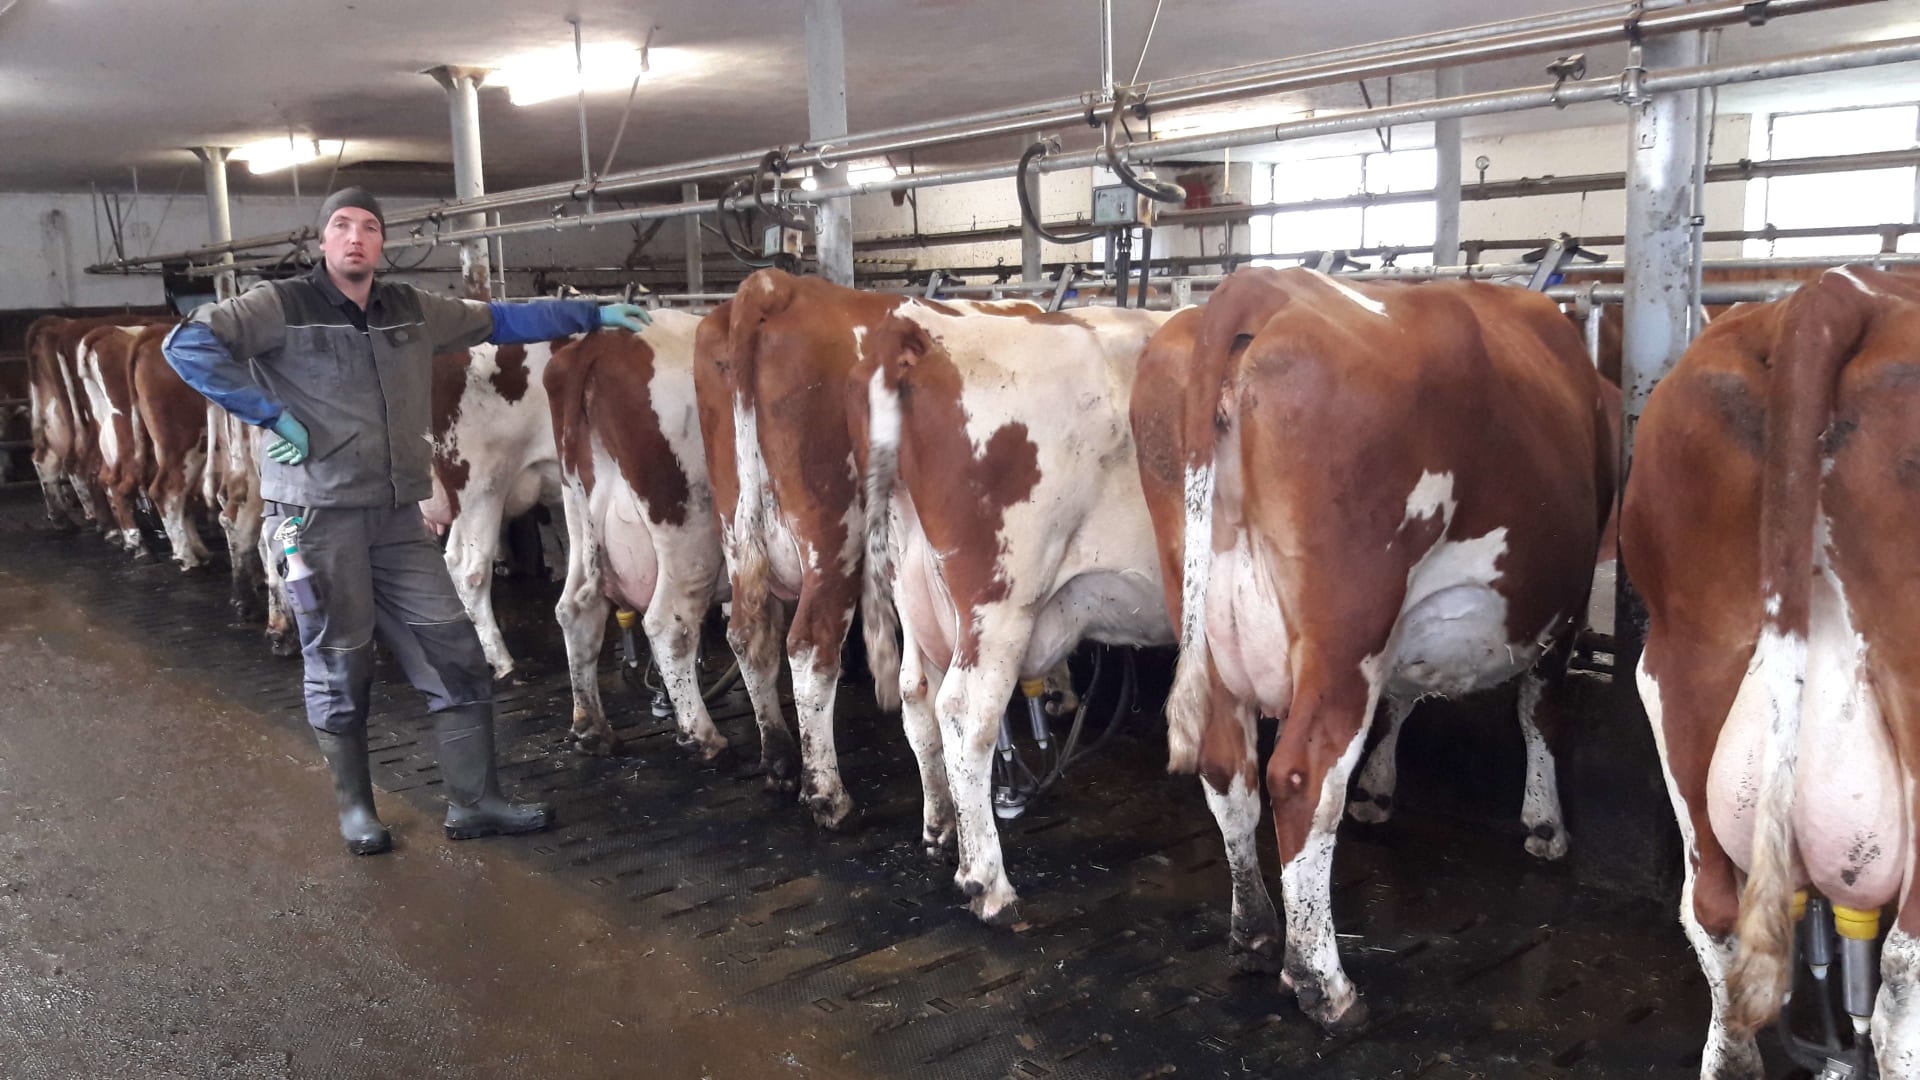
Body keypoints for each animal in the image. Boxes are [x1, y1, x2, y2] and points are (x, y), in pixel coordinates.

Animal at [545, 312, 734, 757]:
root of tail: (599, 345)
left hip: (578, 514)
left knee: (576, 610)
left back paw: (591, 727)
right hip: (686, 525)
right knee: (670, 622)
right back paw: (702, 735)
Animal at [693, 269, 1039, 829]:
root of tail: (776, 285)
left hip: (737, 530)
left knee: (749, 635)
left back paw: (780, 760)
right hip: (835, 535)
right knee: (809, 647)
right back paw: (826, 794)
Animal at [852, 300, 1175, 924]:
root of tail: (920, 329)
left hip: (918, 589)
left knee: (917, 698)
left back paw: (940, 829)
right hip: (1000, 600)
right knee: (963, 714)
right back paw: (987, 881)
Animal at [1134, 266, 1614, 1032]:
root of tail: (1263, 284)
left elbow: (1401, 700)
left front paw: (1381, 791)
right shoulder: (1561, 616)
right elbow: (1541, 714)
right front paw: (1545, 824)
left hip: (1207, 619)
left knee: (1228, 766)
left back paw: (1254, 933)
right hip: (1347, 626)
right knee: (1301, 777)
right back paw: (1322, 982)